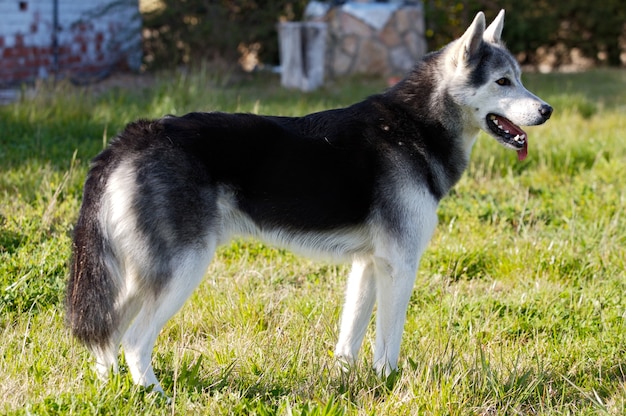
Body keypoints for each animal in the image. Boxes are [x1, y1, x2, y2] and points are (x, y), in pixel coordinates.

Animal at [64, 10, 552, 394]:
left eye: (520, 79)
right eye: (503, 81)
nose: (546, 110)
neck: (412, 127)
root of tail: (132, 137)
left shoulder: (368, 265)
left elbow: (349, 339)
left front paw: (348, 383)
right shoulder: (399, 265)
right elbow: (388, 342)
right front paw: (390, 384)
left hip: (135, 277)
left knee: (106, 338)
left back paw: (111, 392)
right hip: (181, 270)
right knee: (133, 341)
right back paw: (155, 396)